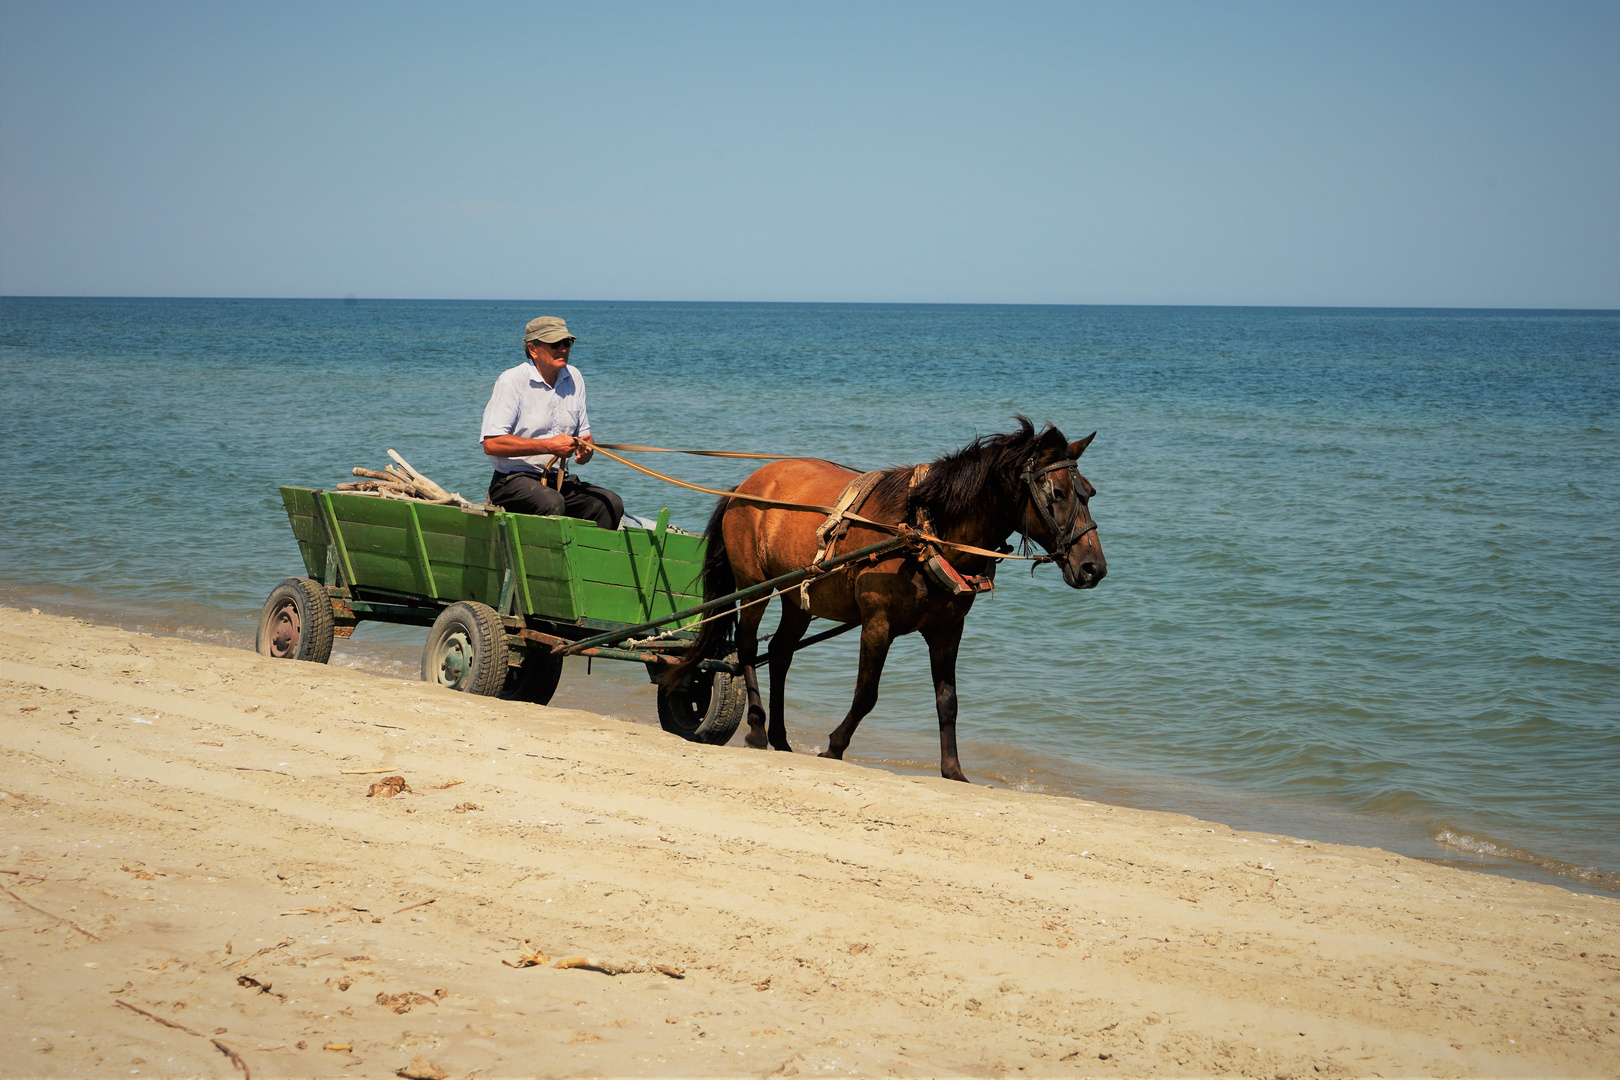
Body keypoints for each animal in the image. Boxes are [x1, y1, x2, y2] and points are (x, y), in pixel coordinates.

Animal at [664, 417, 1108, 780]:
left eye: (1088, 492)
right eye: (1058, 493)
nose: (1093, 568)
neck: (923, 530)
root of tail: (745, 486)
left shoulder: (948, 630)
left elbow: (948, 701)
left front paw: (953, 770)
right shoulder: (878, 624)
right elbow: (866, 694)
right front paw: (834, 746)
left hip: (798, 597)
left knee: (780, 653)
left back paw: (781, 737)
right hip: (755, 585)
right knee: (747, 646)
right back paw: (757, 729)